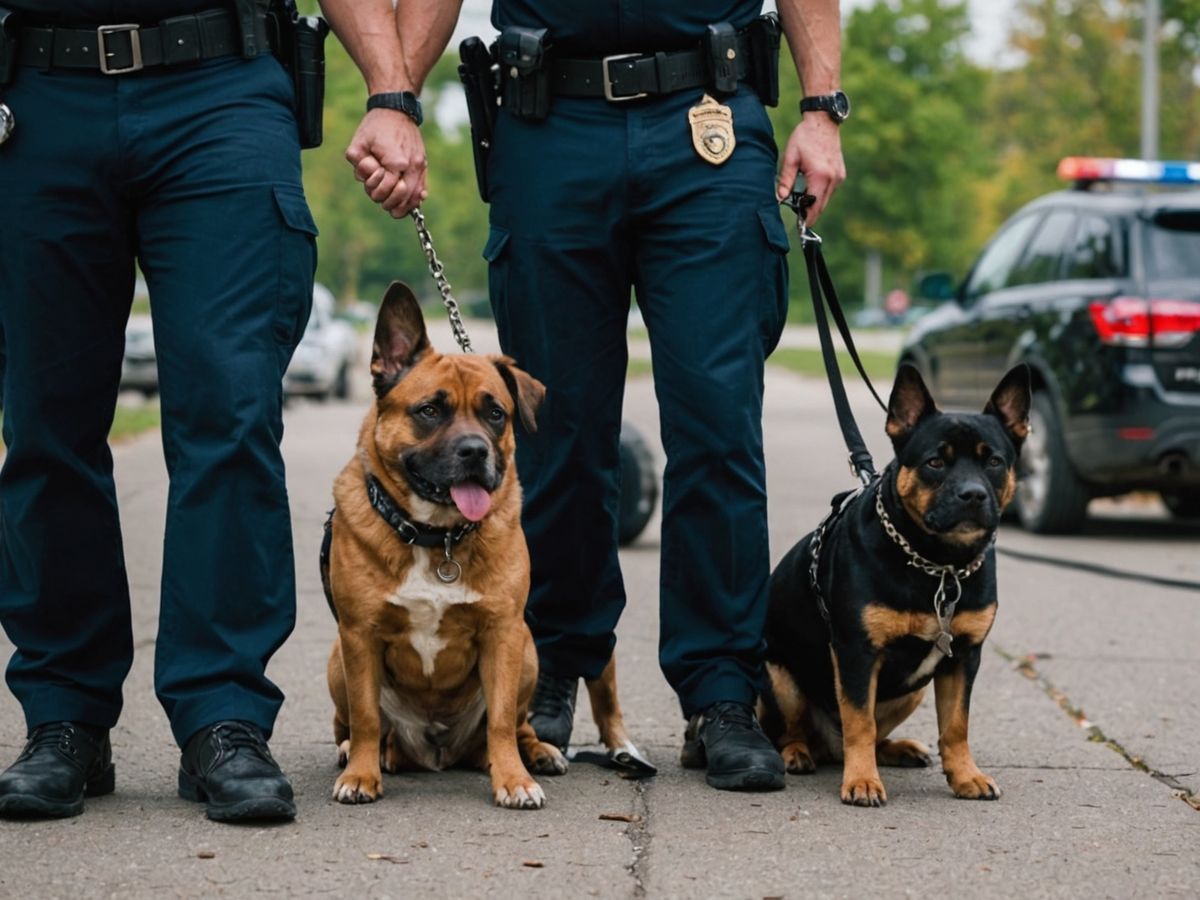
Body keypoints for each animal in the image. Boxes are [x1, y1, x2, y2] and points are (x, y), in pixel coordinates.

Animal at [319, 283, 638, 811]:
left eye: (496, 414)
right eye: (429, 411)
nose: (475, 450)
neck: (436, 537)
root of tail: (437, 751)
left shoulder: (503, 634)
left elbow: (503, 720)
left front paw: (513, 779)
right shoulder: (359, 635)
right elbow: (366, 715)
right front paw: (361, 775)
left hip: (528, 650)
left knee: (516, 724)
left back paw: (538, 753)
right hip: (337, 661)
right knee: (354, 725)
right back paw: (368, 754)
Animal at [763, 362, 1027, 806]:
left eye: (993, 461)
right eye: (935, 462)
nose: (973, 495)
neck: (938, 565)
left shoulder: (963, 658)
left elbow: (955, 726)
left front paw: (965, 776)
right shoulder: (857, 653)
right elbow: (859, 722)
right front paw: (862, 781)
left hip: (912, 691)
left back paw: (897, 750)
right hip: (780, 677)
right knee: (795, 730)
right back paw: (798, 752)